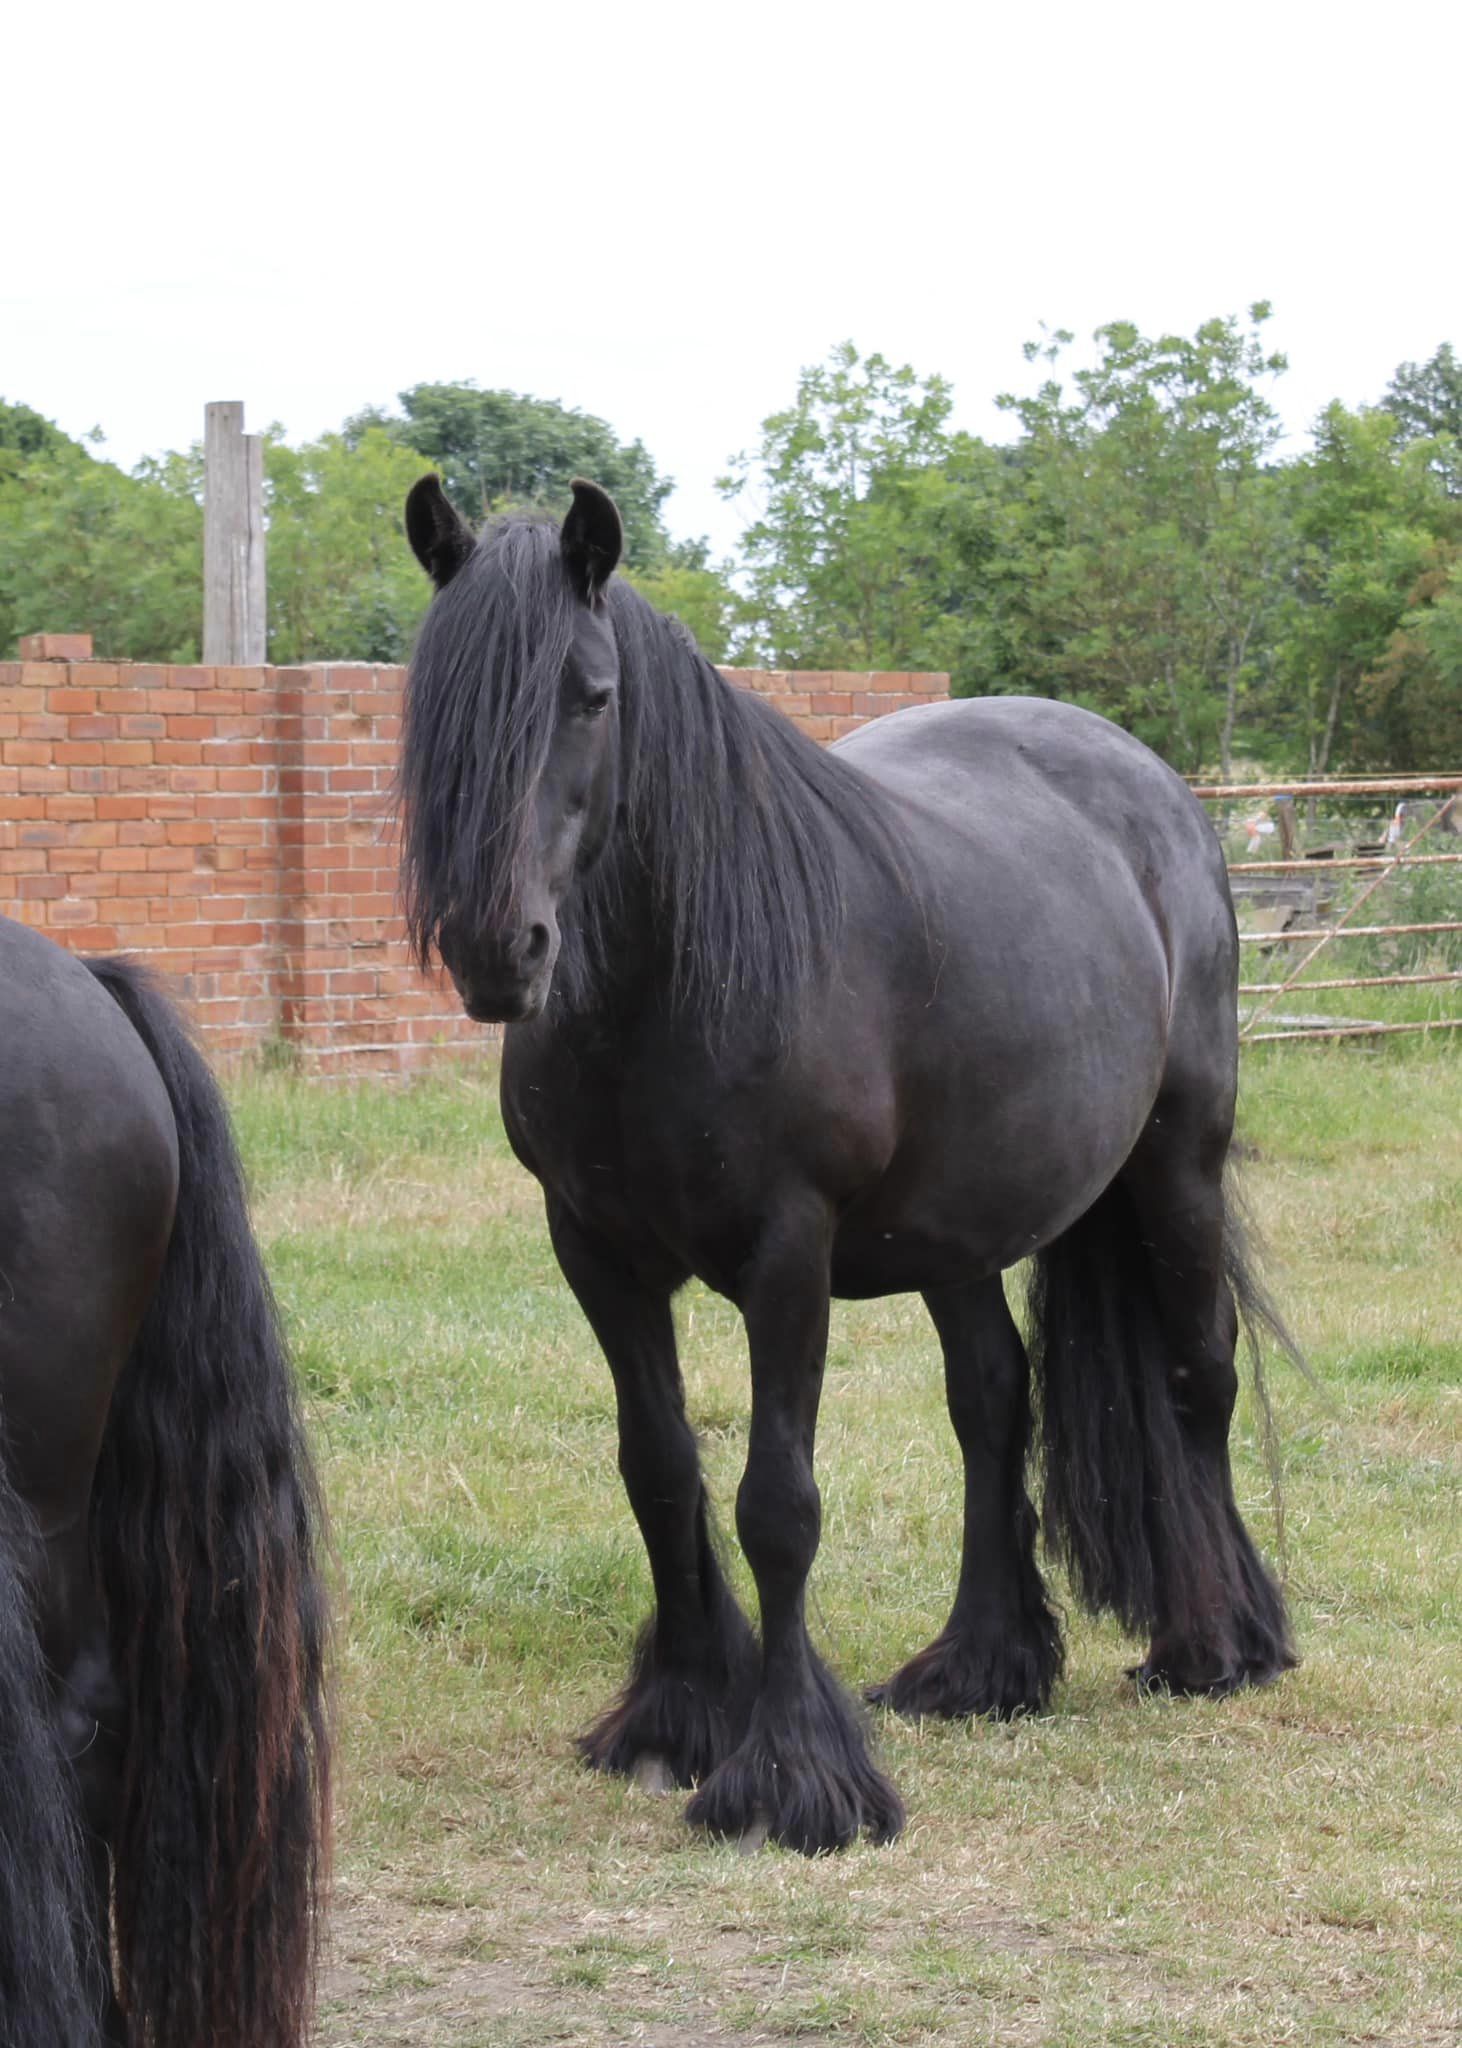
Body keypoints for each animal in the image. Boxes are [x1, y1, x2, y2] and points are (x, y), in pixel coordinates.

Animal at [395, 475, 1285, 1859]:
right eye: (429, 696)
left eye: (590, 693)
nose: (501, 949)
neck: (672, 980)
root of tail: (1153, 787)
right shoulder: (592, 1247)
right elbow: (659, 1469)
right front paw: (676, 1715)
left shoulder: (787, 1249)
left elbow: (777, 1502)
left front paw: (791, 1777)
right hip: (959, 1222)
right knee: (993, 1398)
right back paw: (982, 1665)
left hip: (1175, 1160)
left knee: (1198, 1374)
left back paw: (1213, 1642)